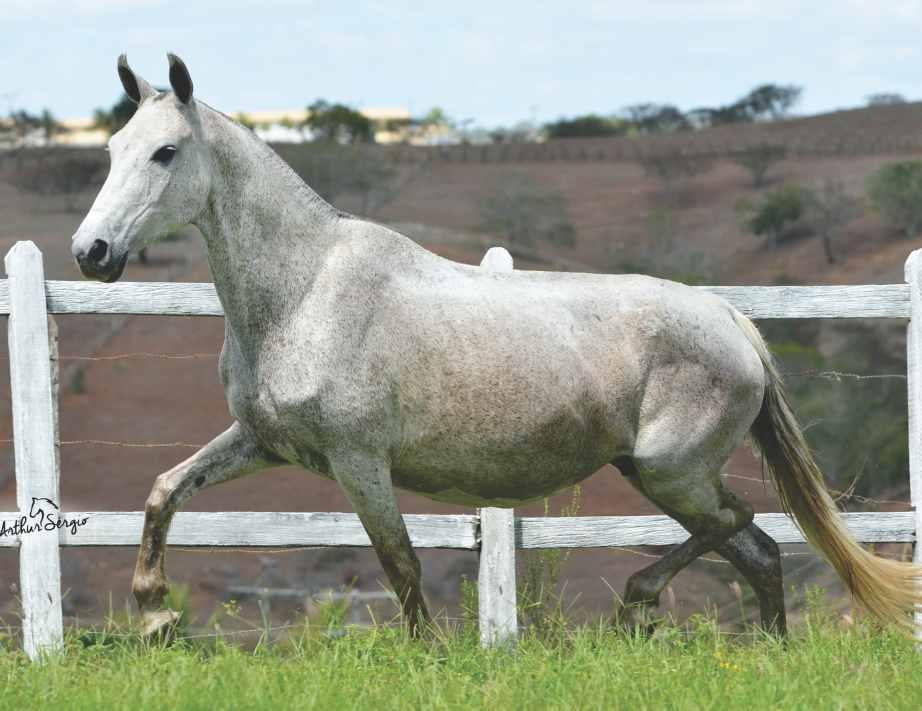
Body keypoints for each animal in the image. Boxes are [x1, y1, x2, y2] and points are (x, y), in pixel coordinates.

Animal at [72, 52, 920, 636]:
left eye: (166, 153)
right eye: (112, 149)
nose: (92, 252)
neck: (305, 290)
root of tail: (732, 320)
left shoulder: (358, 460)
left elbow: (401, 563)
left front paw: (424, 655)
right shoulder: (262, 442)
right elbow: (164, 490)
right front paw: (154, 614)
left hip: (669, 471)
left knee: (736, 527)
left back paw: (640, 603)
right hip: (665, 475)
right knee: (761, 551)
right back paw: (767, 649)